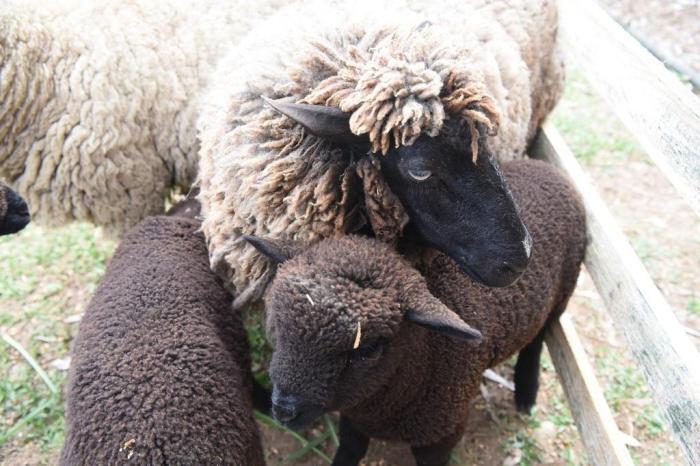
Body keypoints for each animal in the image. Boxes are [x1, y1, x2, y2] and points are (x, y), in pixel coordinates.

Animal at [246, 160, 584, 466]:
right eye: (277, 326)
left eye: (368, 351)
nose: (284, 410)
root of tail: (548, 169)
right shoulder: (354, 419)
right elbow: (349, 451)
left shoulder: (442, 435)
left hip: (563, 292)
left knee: (538, 338)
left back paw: (526, 392)